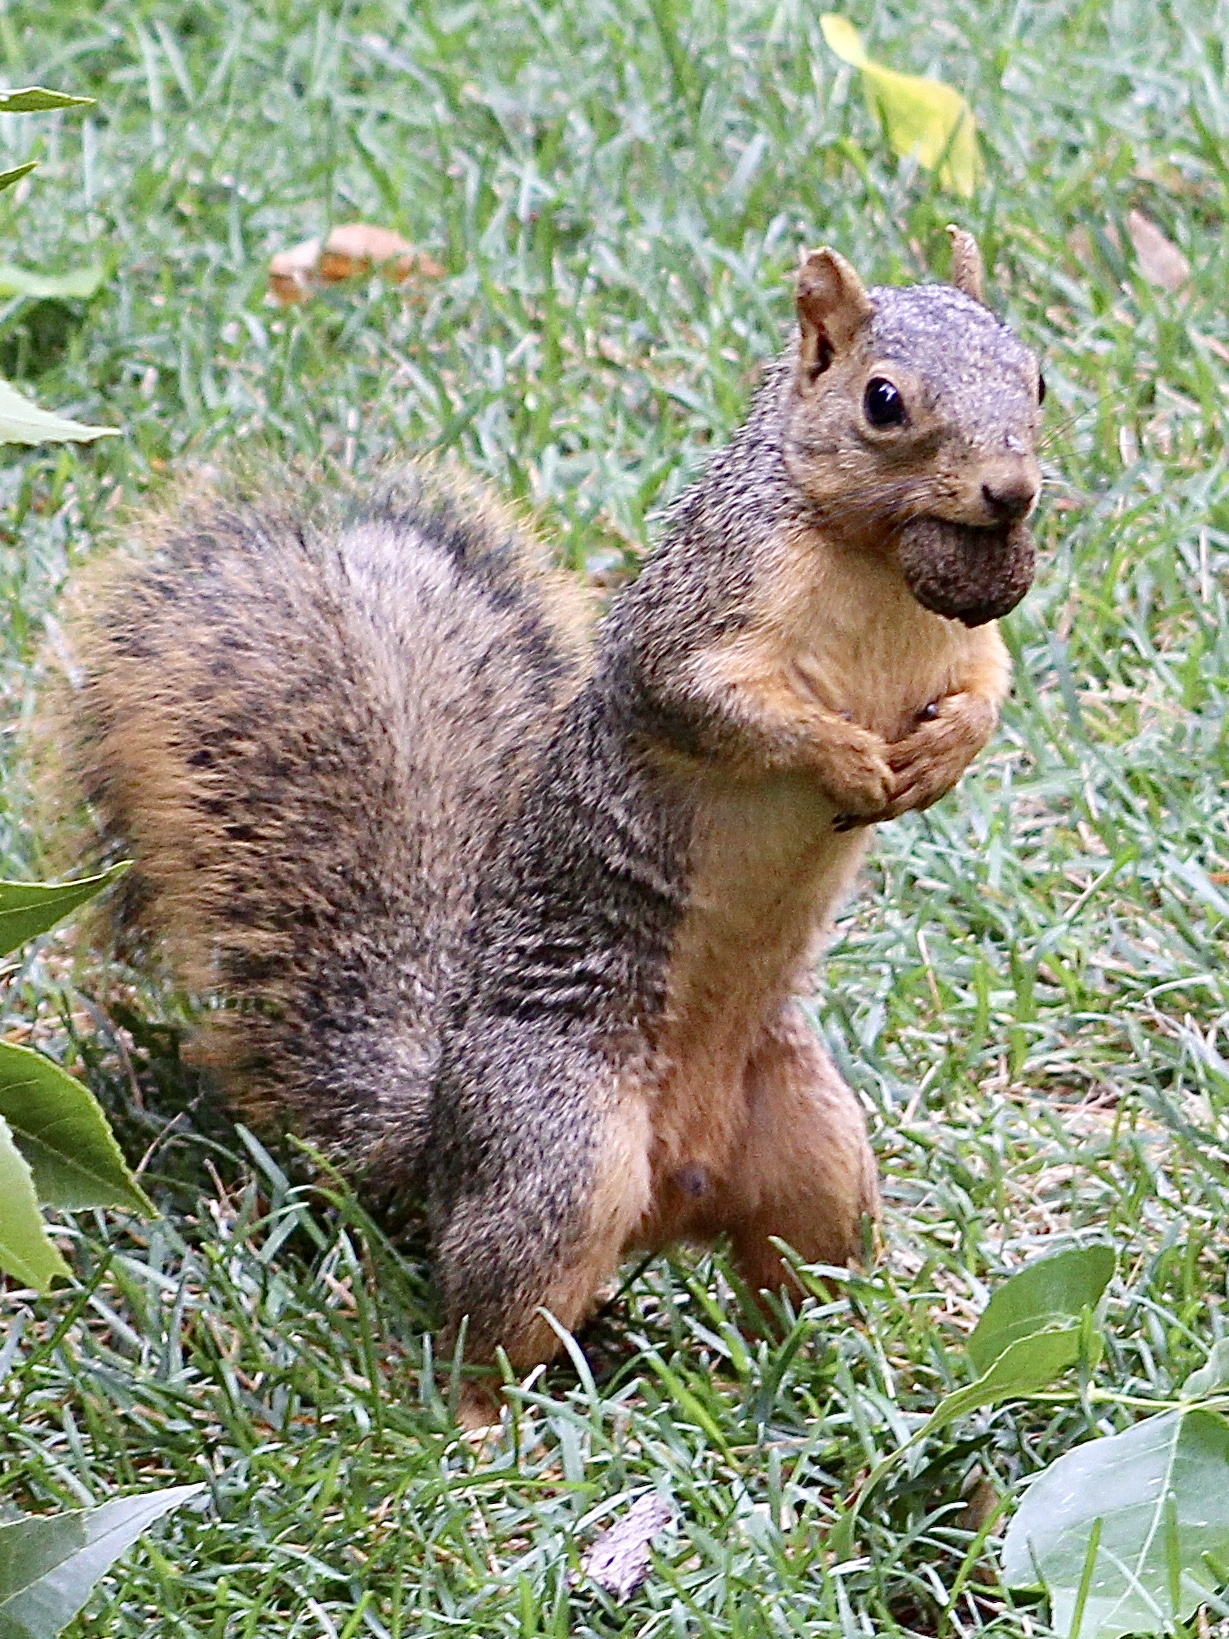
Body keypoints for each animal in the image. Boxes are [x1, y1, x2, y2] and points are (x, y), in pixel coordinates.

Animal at [57, 230, 1042, 1424]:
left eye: (1035, 375)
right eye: (882, 401)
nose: (1011, 493)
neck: (874, 560)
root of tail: (440, 1134)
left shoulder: (965, 646)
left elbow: (987, 685)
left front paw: (944, 755)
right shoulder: (695, 620)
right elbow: (714, 705)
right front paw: (845, 757)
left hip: (817, 1150)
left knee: (794, 1272)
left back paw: (840, 1369)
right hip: (556, 1154)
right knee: (491, 1322)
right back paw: (488, 1426)